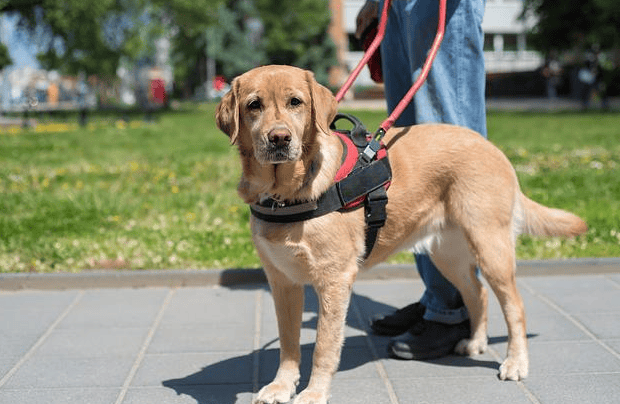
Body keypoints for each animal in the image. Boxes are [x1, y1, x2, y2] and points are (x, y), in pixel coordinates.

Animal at [216, 65, 588, 404]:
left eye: (296, 102)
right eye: (254, 105)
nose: (279, 138)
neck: (284, 194)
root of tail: (490, 146)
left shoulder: (334, 280)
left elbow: (323, 346)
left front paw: (314, 393)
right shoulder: (282, 282)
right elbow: (288, 344)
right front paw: (281, 386)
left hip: (491, 247)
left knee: (515, 306)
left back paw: (515, 362)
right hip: (447, 255)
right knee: (477, 292)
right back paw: (476, 342)